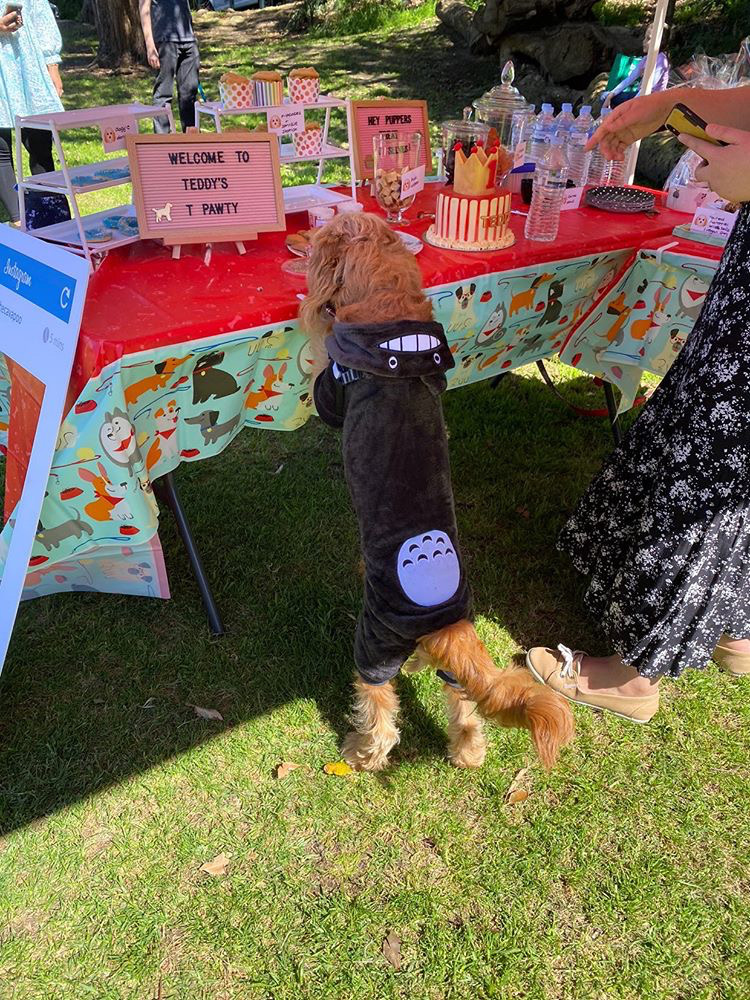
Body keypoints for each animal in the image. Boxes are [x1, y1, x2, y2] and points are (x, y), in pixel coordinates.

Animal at [296, 215, 572, 768]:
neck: (393, 318)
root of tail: (447, 625)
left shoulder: (333, 388)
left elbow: (324, 367)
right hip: (449, 674)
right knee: (464, 706)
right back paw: (467, 751)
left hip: (374, 645)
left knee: (381, 713)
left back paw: (362, 753)